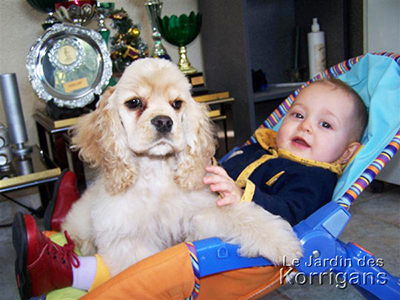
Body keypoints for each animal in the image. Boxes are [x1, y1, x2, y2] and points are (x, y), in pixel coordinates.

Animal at [61, 57, 302, 276]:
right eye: (134, 102)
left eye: (177, 103)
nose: (164, 121)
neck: (156, 172)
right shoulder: (127, 239)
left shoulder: (202, 210)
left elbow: (243, 216)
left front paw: (282, 243)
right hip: (80, 220)